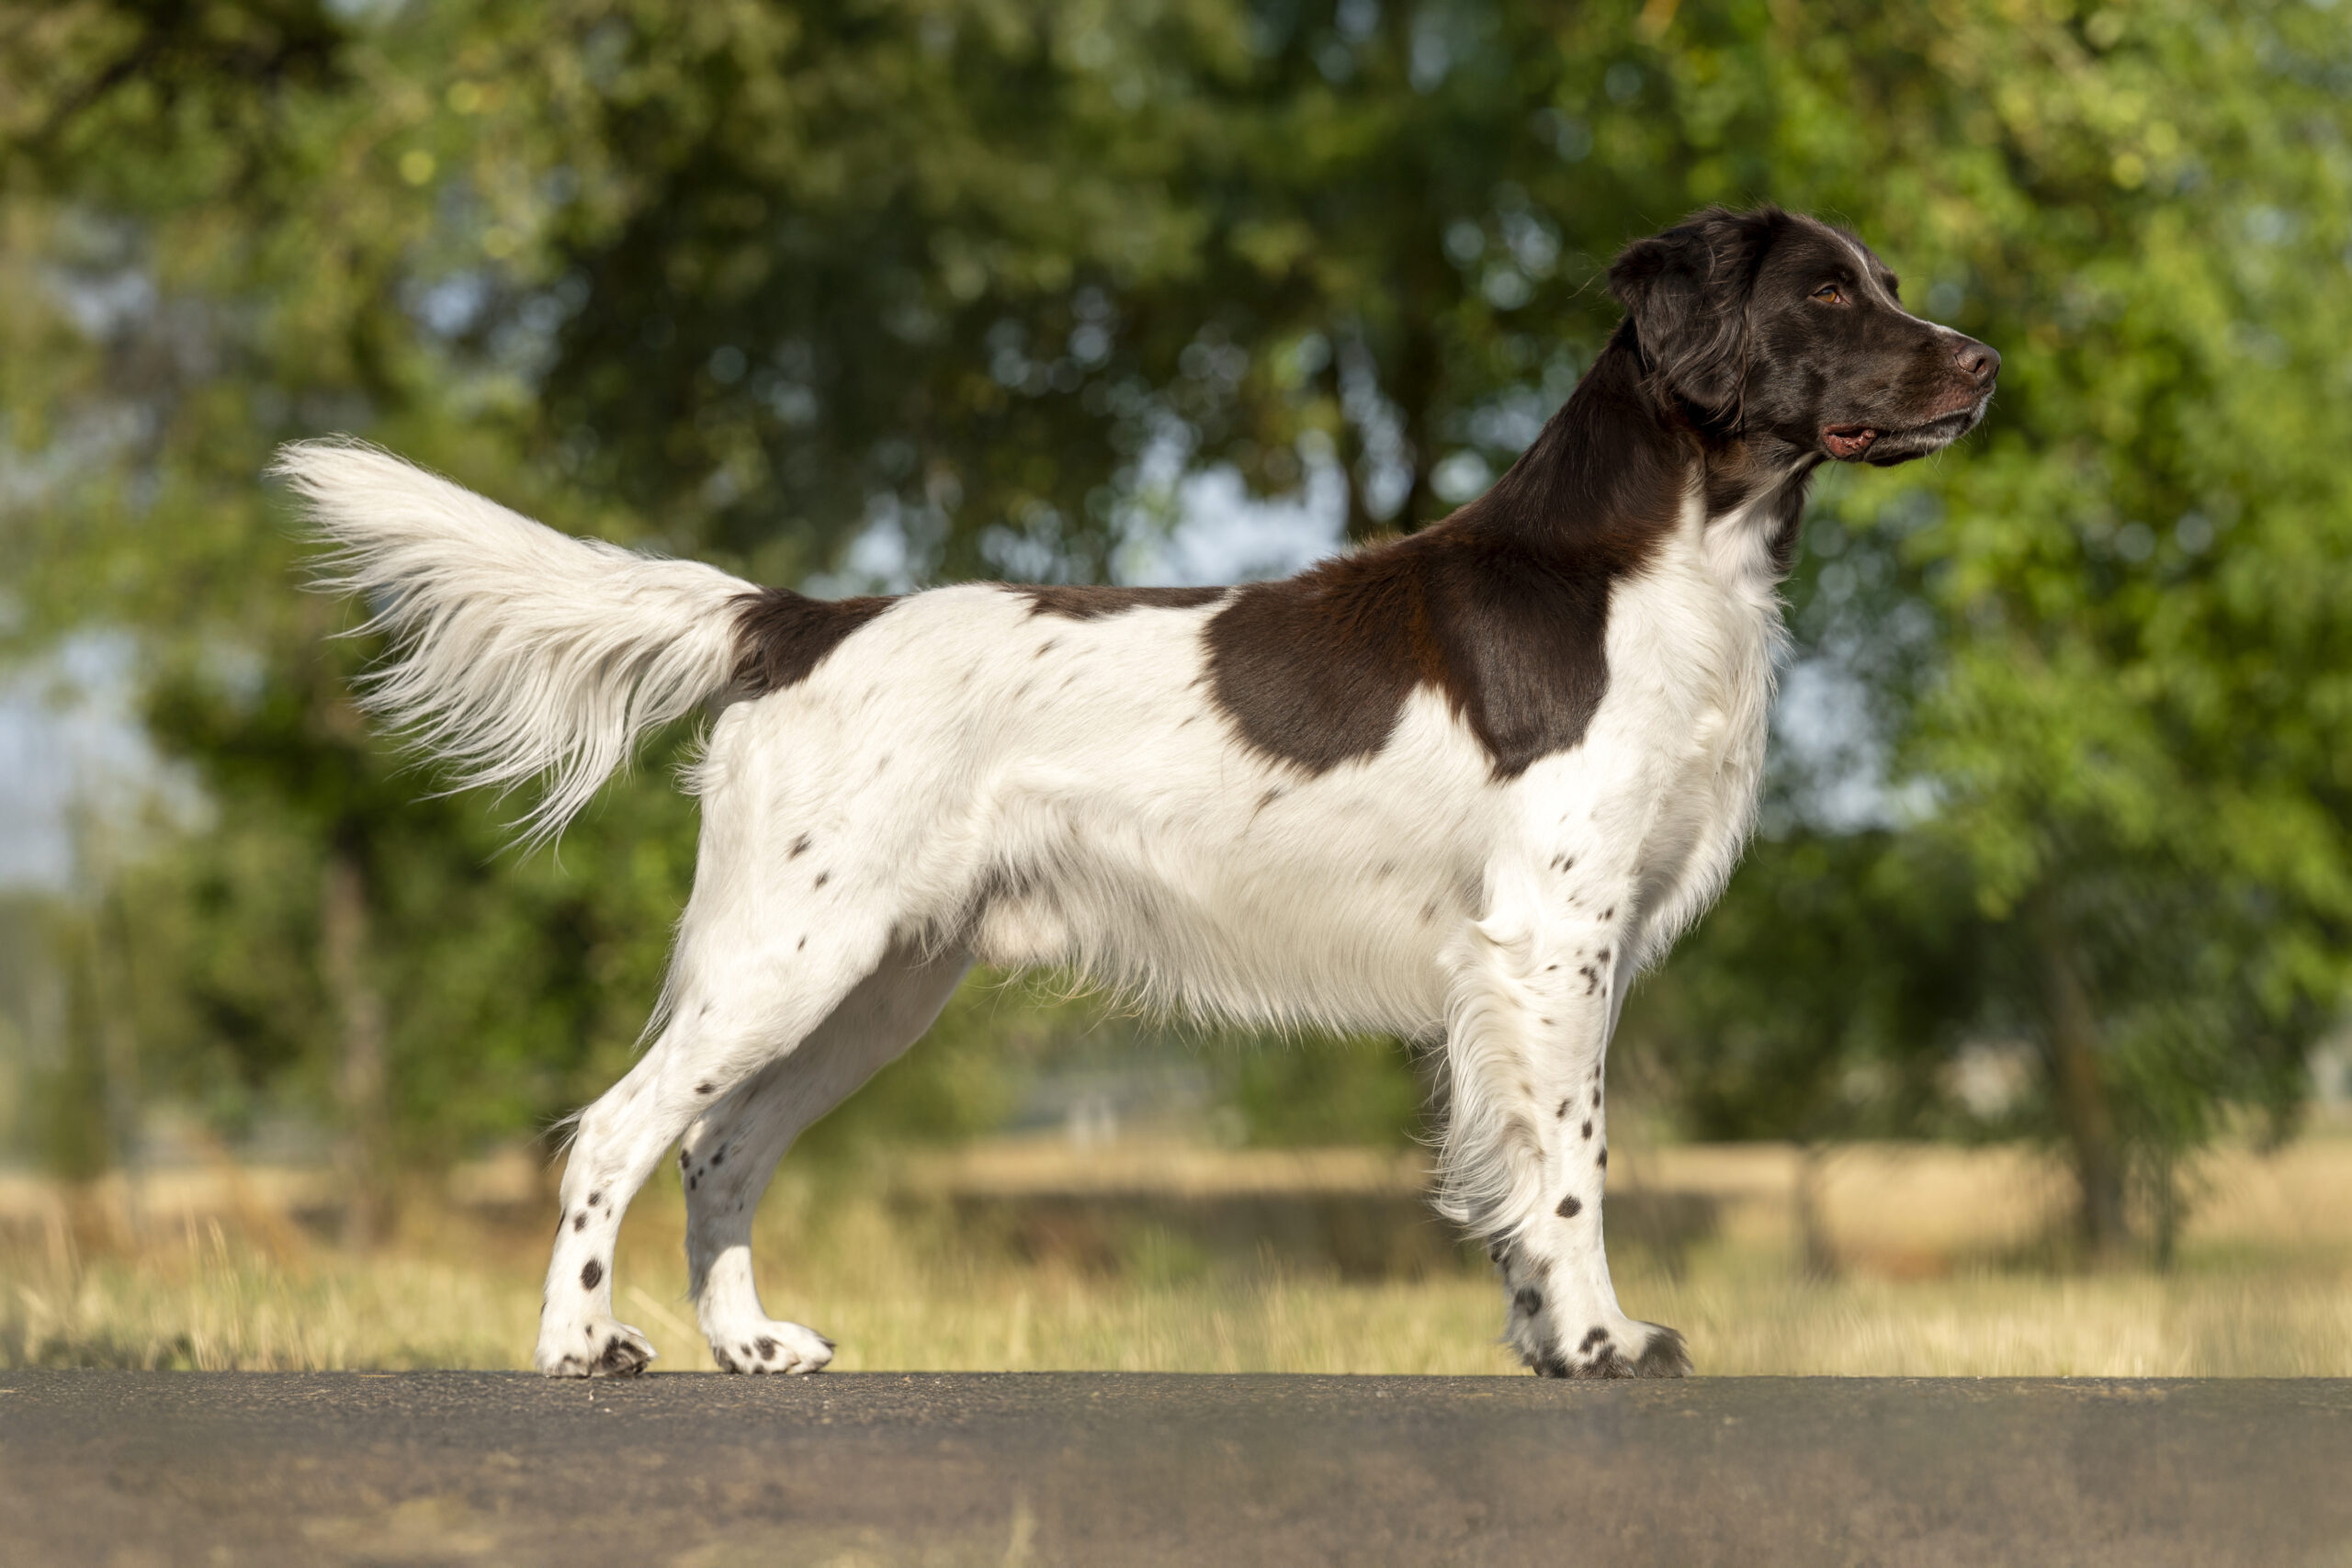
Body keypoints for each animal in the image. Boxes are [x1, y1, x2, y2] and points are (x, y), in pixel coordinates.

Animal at [278, 205, 1995, 1378]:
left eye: (1889, 280)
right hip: (790, 951)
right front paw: (1602, 1340)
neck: (1646, 569)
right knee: (618, 1127)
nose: (1986, 361)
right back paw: (580, 1346)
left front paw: (1540, 1342)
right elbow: (1571, 1169)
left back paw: (753, 1344)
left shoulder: (1524, 970)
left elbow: (1515, 1172)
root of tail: (800, 617)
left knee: (719, 1147)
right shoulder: (1551, 940)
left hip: (879, 980)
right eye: (1828, 291)